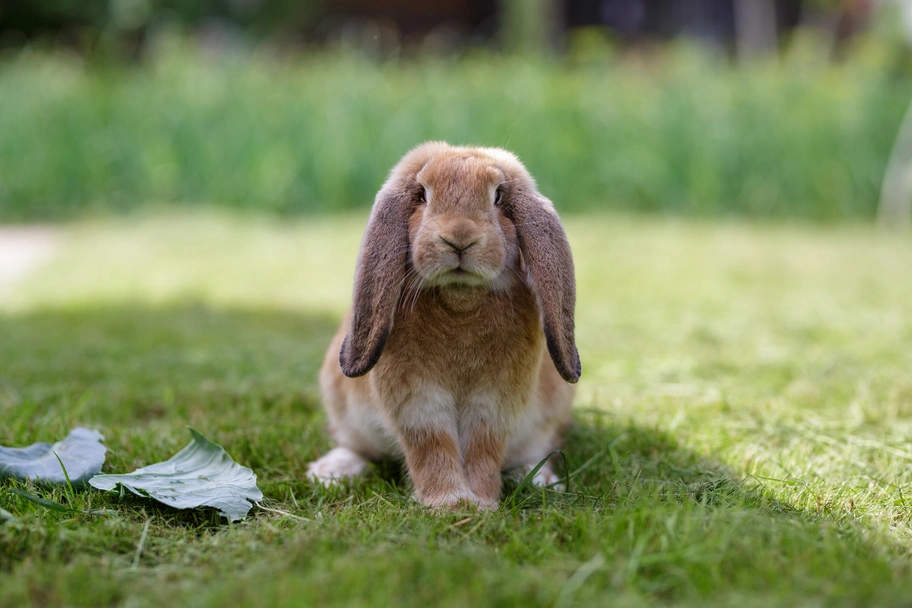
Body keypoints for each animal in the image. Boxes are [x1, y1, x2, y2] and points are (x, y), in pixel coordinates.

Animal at [307, 141, 580, 510]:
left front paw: (480, 503)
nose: (459, 237)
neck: (460, 300)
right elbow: (431, 445)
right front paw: (450, 503)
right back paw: (330, 472)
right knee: (356, 447)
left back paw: (543, 480)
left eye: (498, 197)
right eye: (422, 195)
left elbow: (483, 449)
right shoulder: (418, 402)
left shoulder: (495, 404)